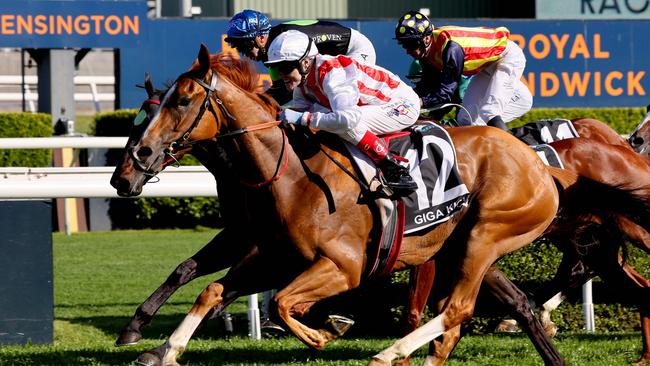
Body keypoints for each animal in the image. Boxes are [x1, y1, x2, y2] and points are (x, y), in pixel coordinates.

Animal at [120, 46, 572, 366]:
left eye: (183, 100)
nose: (135, 163)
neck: (291, 175)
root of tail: (539, 164)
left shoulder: (344, 265)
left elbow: (283, 303)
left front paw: (325, 332)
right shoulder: (274, 255)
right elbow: (213, 289)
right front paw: (164, 349)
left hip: (485, 236)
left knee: (459, 309)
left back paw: (389, 353)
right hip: (461, 248)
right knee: (485, 314)